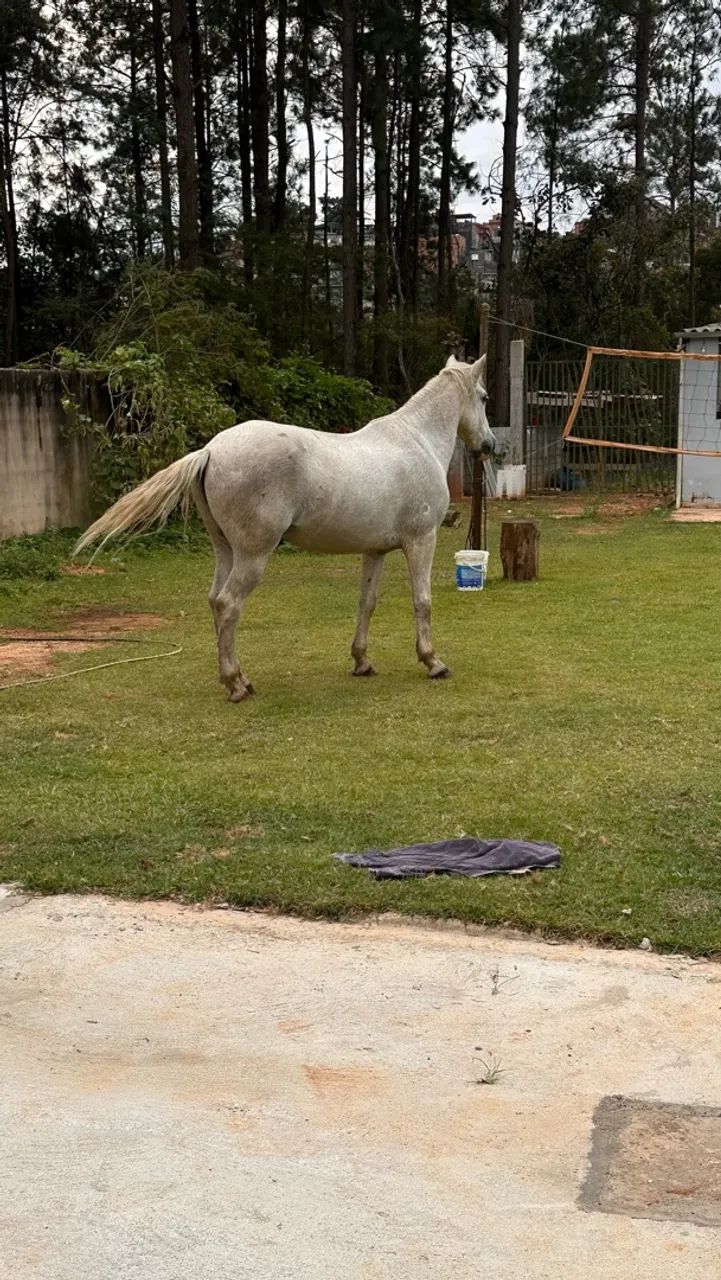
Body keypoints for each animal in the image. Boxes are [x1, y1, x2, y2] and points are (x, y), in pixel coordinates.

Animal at [74, 354, 496, 702]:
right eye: (484, 397)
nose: (490, 445)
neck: (416, 441)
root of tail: (209, 450)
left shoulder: (374, 550)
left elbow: (367, 603)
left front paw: (361, 661)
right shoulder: (421, 540)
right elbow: (422, 601)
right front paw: (433, 662)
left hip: (226, 551)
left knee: (215, 601)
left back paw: (236, 677)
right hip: (254, 555)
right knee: (228, 604)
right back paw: (236, 684)